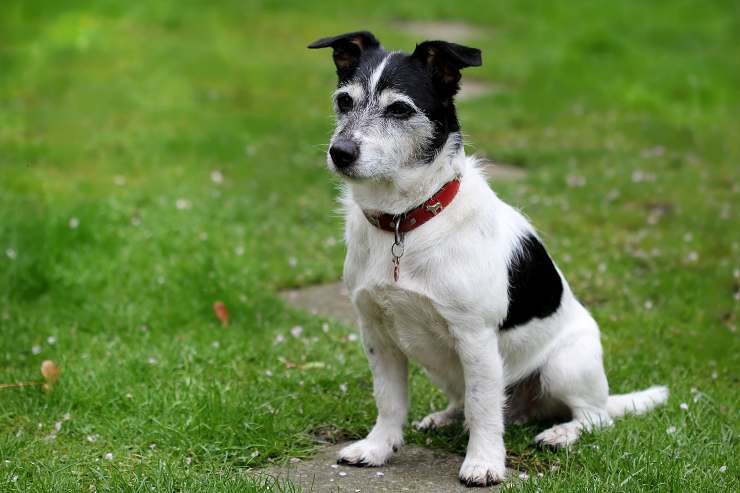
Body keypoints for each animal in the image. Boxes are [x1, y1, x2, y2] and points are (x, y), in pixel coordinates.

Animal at [310, 31, 668, 488]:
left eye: (400, 109)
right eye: (343, 100)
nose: (340, 152)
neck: (404, 222)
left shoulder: (475, 337)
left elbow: (483, 408)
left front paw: (483, 463)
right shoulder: (377, 333)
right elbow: (389, 400)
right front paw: (378, 448)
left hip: (565, 366)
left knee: (593, 416)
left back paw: (561, 433)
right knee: (471, 403)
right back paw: (446, 417)